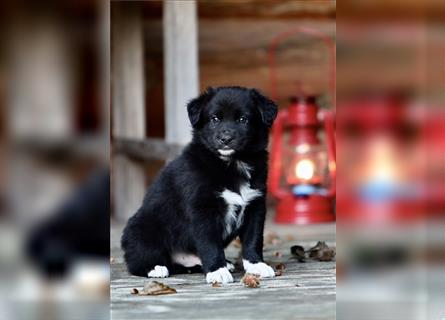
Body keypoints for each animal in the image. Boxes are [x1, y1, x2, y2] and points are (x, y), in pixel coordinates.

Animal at [119, 87, 276, 282]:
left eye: (243, 119)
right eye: (214, 119)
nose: (226, 138)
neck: (233, 162)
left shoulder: (255, 205)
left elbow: (253, 239)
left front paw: (256, 265)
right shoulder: (202, 209)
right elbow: (209, 243)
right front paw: (217, 270)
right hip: (142, 227)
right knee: (137, 259)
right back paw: (154, 267)